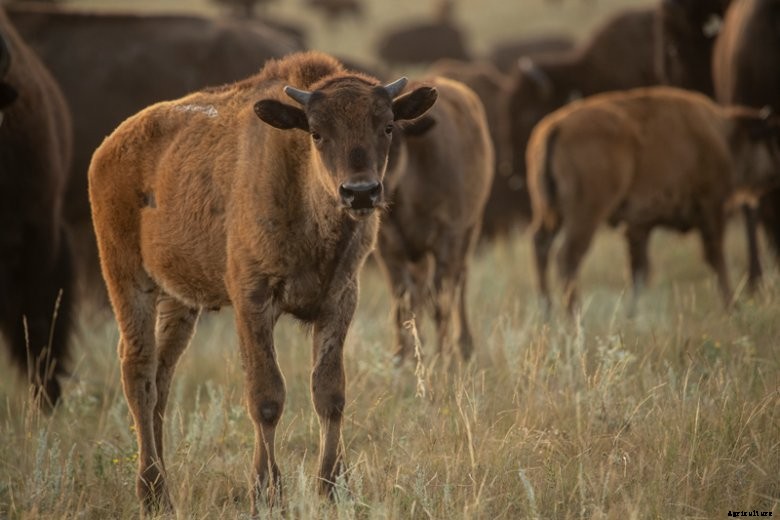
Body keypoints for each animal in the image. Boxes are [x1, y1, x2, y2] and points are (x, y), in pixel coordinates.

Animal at [88, 51, 436, 514]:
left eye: (388, 126)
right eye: (317, 132)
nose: (360, 192)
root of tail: (107, 149)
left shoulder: (340, 299)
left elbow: (330, 393)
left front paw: (332, 486)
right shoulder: (252, 301)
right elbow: (267, 397)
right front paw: (267, 491)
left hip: (180, 303)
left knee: (162, 378)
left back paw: (162, 485)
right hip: (128, 281)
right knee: (139, 373)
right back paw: (152, 492)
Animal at [377, 76, 493, 363]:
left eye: (391, 134)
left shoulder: (447, 237)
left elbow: (441, 300)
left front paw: (444, 357)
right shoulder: (387, 246)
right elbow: (401, 300)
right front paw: (402, 356)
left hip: (470, 230)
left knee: (459, 283)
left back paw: (464, 345)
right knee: (418, 292)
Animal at [527, 87, 780, 315]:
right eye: (770, 140)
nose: (774, 176)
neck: (724, 136)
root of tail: (555, 127)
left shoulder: (639, 225)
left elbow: (639, 270)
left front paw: (632, 314)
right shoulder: (712, 207)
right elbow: (715, 257)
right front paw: (732, 306)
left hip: (550, 212)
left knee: (541, 245)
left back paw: (547, 311)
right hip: (587, 212)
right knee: (567, 255)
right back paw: (574, 314)